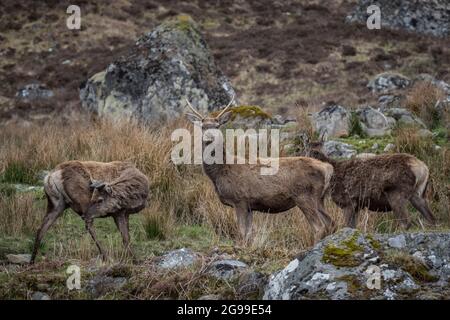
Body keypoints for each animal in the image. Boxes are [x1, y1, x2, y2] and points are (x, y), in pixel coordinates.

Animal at [185, 97, 336, 242]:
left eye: (217, 126)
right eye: (203, 127)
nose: (209, 138)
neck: (219, 173)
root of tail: (327, 168)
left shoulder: (240, 199)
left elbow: (241, 233)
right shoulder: (249, 205)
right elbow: (248, 234)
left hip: (304, 195)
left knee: (319, 227)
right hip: (319, 198)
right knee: (330, 222)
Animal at [302, 138, 436, 230]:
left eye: (318, 149)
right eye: (308, 149)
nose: (314, 154)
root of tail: (422, 168)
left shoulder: (348, 202)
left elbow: (349, 226)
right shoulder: (356, 206)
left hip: (396, 194)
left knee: (406, 222)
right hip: (418, 193)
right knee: (431, 218)